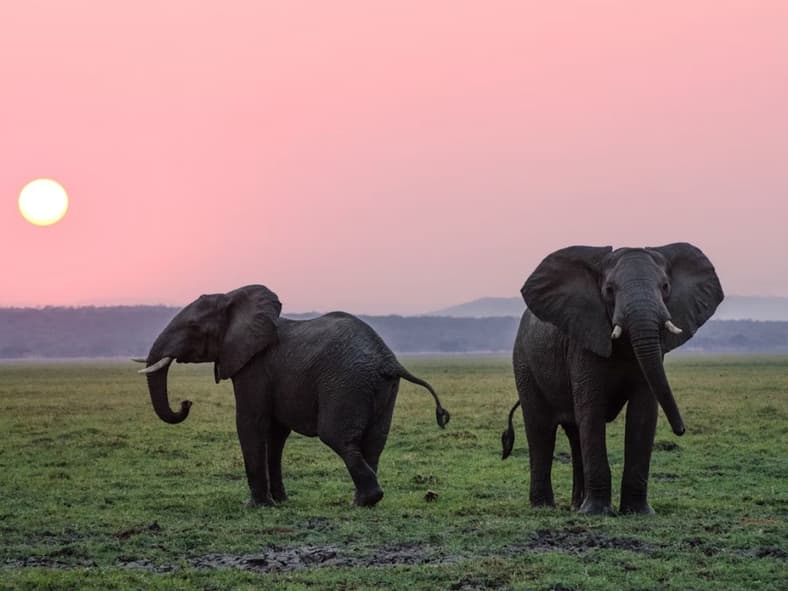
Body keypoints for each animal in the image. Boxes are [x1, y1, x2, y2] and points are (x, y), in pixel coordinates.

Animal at [138, 284, 450, 507]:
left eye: (193, 328)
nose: (186, 402)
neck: (233, 298)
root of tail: (388, 359)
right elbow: (276, 434)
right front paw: (280, 501)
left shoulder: (254, 367)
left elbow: (250, 423)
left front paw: (256, 506)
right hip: (382, 387)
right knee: (374, 442)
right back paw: (364, 501)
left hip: (346, 383)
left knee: (337, 437)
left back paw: (364, 500)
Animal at [501, 243, 723, 515]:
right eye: (608, 290)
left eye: (665, 286)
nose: (681, 430)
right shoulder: (584, 340)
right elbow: (592, 410)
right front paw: (597, 512)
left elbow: (643, 412)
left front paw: (638, 512)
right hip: (524, 363)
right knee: (541, 429)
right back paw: (544, 507)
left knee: (575, 434)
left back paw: (576, 506)